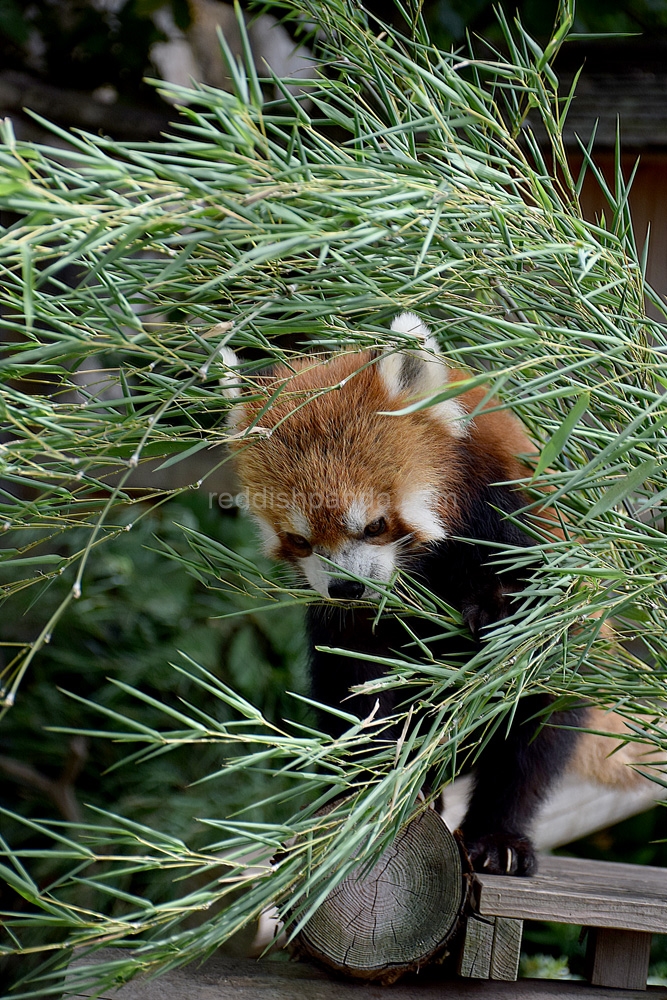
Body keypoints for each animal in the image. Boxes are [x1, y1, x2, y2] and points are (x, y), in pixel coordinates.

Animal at [222, 312, 648, 876]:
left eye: (375, 525)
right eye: (300, 540)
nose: (347, 585)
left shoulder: (515, 522)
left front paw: (492, 609)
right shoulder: (347, 622)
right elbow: (357, 688)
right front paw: (369, 789)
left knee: (536, 731)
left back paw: (495, 832)